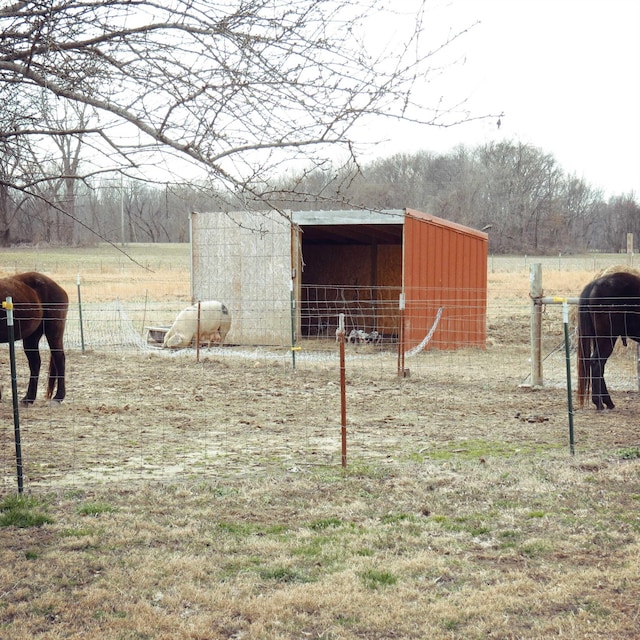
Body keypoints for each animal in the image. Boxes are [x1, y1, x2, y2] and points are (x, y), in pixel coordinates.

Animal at [0, 272, 68, 404]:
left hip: (53, 332)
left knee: (59, 359)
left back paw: (58, 397)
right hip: (32, 337)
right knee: (35, 363)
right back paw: (29, 398)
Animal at [576, 270, 640, 410]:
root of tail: (594, 284)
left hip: (599, 339)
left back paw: (607, 401)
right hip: (607, 338)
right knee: (597, 364)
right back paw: (599, 402)